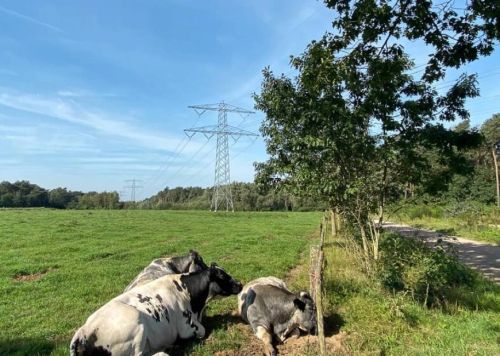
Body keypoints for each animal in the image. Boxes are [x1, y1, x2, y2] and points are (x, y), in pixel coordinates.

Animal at [70, 262, 242, 354]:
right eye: (222, 275)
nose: (240, 284)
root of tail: (83, 330)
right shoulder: (186, 327)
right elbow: (202, 330)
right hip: (135, 323)